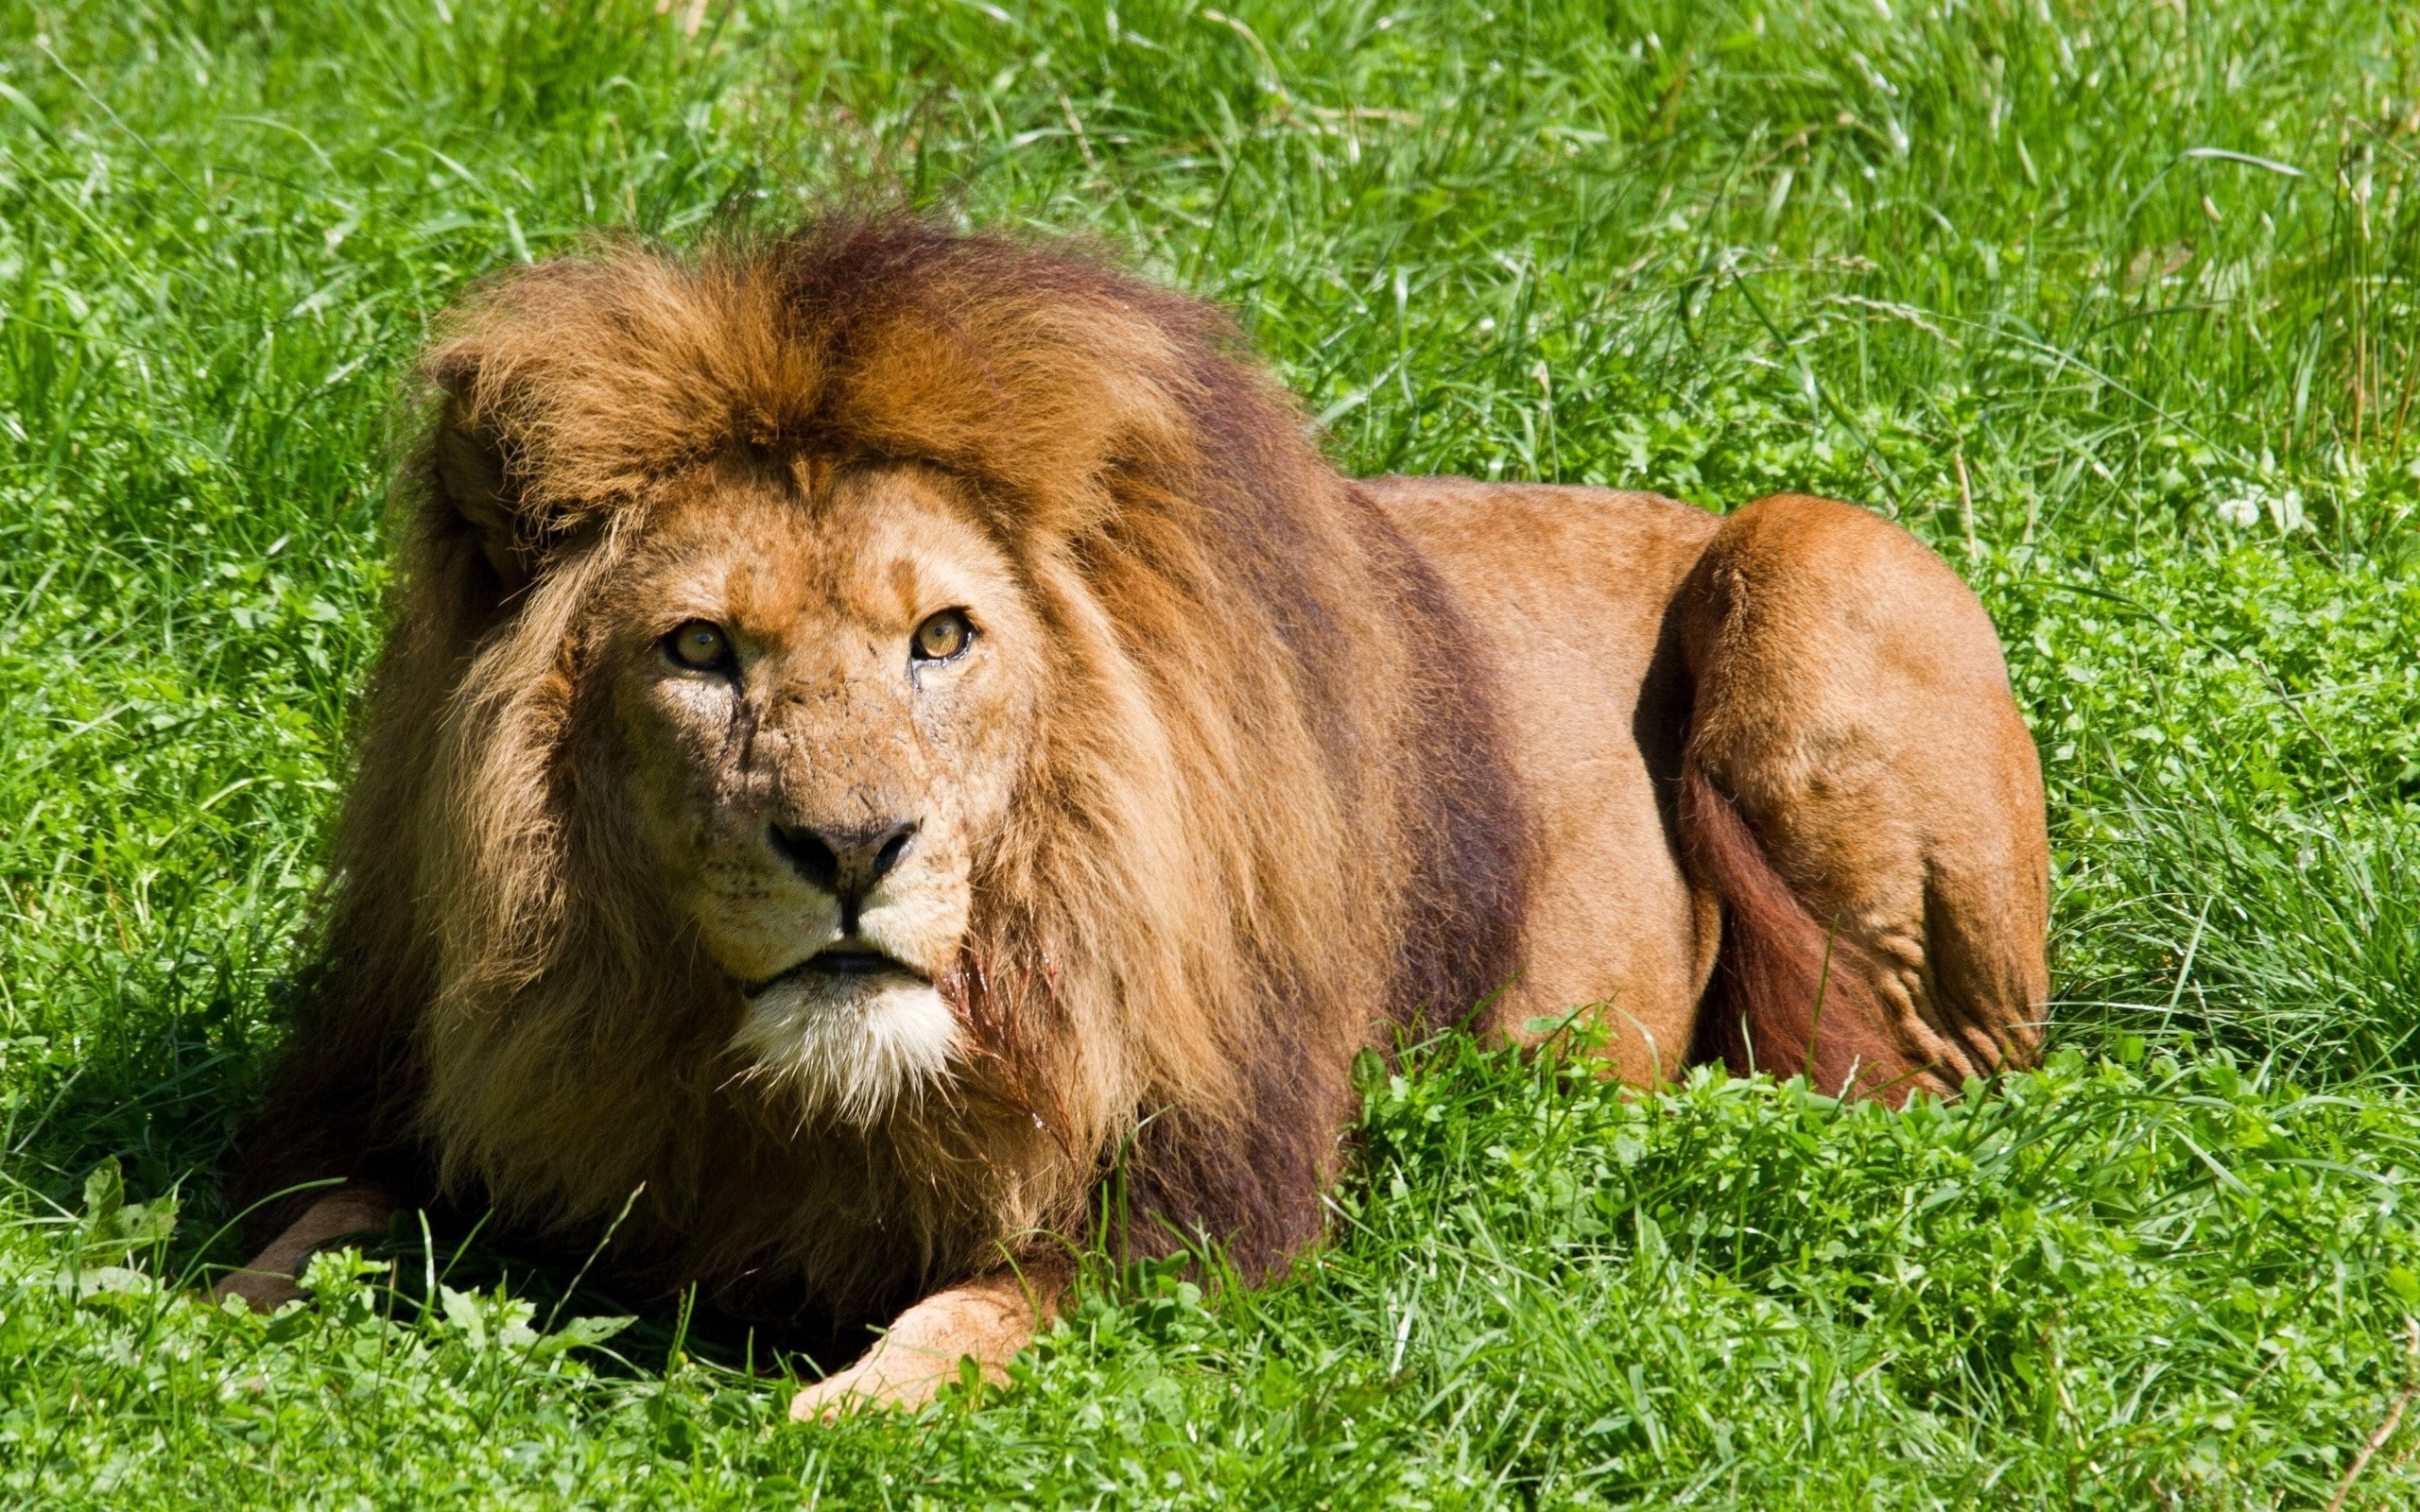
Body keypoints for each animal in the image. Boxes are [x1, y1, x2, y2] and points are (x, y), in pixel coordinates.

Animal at [219, 215, 2047, 1417]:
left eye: (941, 638)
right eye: (699, 652)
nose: (852, 853)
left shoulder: (1199, 1191)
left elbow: (978, 1314)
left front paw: (849, 1410)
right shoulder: (418, 1083)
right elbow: (308, 1226)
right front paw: (185, 1343)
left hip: (1812, 560)